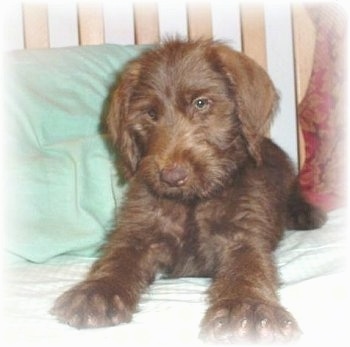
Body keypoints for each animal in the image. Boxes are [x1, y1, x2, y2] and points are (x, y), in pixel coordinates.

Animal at [51, 39, 326, 344]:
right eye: (150, 113)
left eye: (201, 103)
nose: (172, 176)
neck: (192, 203)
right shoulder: (139, 231)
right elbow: (118, 257)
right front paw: (98, 291)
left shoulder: (243, 234)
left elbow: (248, 268)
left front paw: (247, 307)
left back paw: (305, 213)